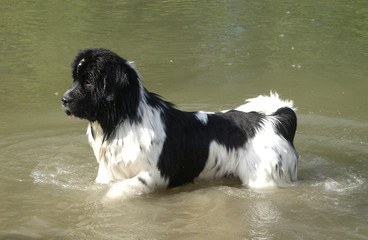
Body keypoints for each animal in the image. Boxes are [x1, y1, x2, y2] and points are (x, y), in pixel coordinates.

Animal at [62, 47, 300, 198]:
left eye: (88, 81)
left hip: (264, 179)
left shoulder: (154, 174)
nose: (64, 99)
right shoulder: (109, 172)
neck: (122, 121)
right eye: (75, 79)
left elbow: (118, 191)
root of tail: (276, 120)